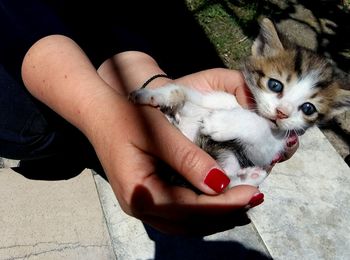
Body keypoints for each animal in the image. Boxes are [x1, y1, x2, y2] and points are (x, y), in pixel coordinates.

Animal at [129, 18, 350, 189]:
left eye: (308, 108)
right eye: (275, 85)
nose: (282, 113)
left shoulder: (268, 150)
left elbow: (260, 132)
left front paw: (222, 123)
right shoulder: (217, 99)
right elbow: (185, 93)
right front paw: (152, 94)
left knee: (224, 183)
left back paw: (249, 177)